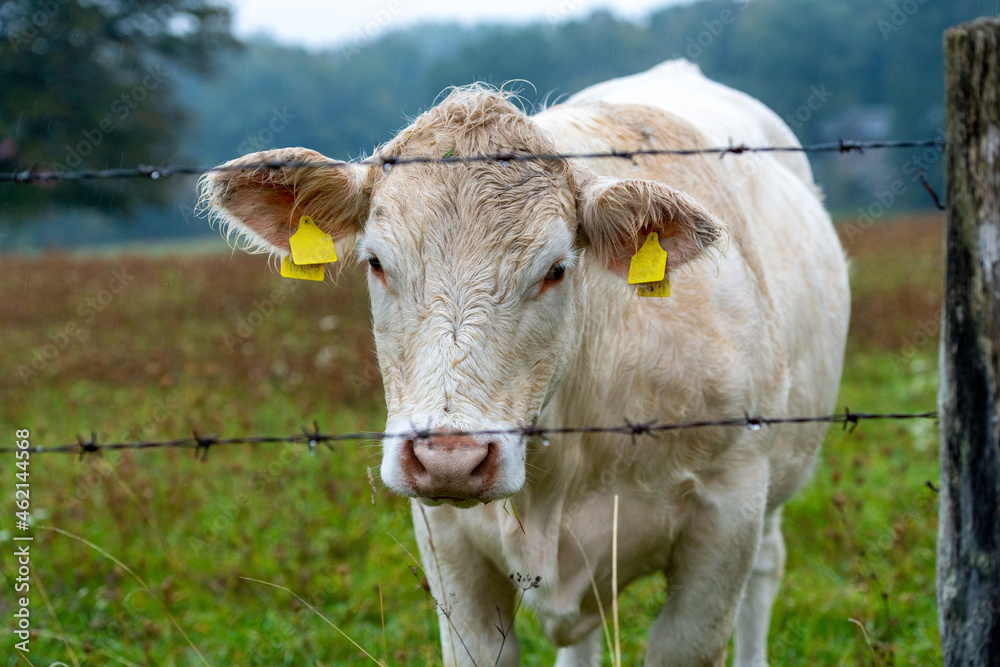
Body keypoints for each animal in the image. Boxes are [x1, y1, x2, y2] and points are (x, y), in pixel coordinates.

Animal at [201, 60, 852, 664]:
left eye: (556, 269)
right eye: (376, 262)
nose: (449, 460)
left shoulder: (728, 513)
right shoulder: (445, 543)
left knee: (766, 573)